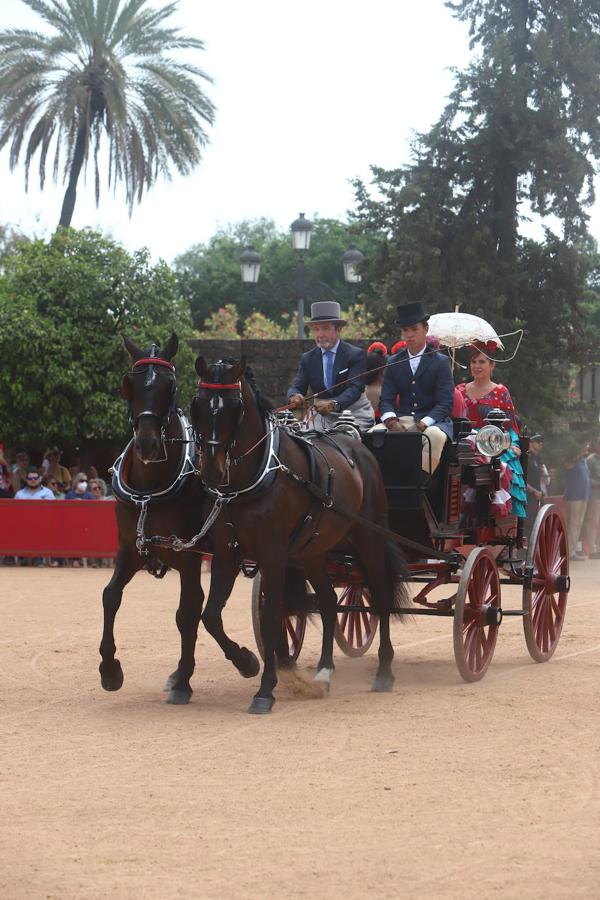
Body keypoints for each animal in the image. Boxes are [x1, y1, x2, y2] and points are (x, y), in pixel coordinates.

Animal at [97, 334, 258, 708]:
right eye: (130, 384)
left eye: (169, 385)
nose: (147, 444)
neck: (151, 488)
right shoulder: (131, 548)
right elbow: (111, 596)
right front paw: (110, 669)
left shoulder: (188, 556)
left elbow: (188, 613)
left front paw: (193, 677)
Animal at [190, 356, 410, 712]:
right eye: (197, 405)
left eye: (235, 407)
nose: (211, 470)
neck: (253, 478)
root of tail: (359, 447)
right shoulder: (227, 554)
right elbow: (210, 616)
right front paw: (247, 662)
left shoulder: (274, 554)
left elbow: (270, 617)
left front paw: (265, 690)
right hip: (313, 553)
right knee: (329, 601)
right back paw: (324, 671)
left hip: (369, 540)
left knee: (380, 597)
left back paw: (384, 672)